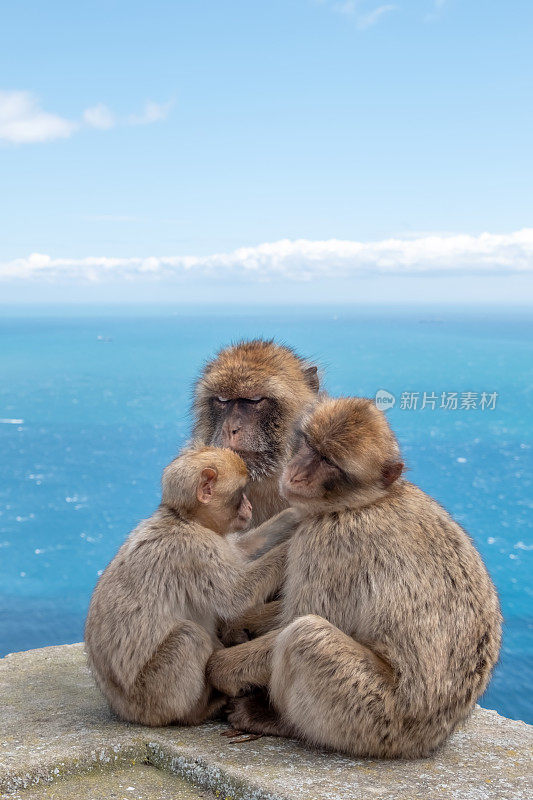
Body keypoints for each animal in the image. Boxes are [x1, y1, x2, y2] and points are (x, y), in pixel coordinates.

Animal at [85, 446, 298, 728]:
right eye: (241, 492)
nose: (249, 507)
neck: (185, 519)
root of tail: (120, 708)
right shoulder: (193, 551)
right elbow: (237, 595)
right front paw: (291, 545)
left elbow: (242, 551)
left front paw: (295, 515)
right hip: (150, 696)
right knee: (189, 637)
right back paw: (199, 710)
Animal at [206, 396, 500, 760]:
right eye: (308, 445)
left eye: (329, 461)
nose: (297, 473)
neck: (361, 502)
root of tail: (431, 739)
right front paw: (238, 624)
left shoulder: (328, 541)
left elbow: (294, 621)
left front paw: (219, 668)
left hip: (375, 719)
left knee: (306, 635)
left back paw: (277, 721)